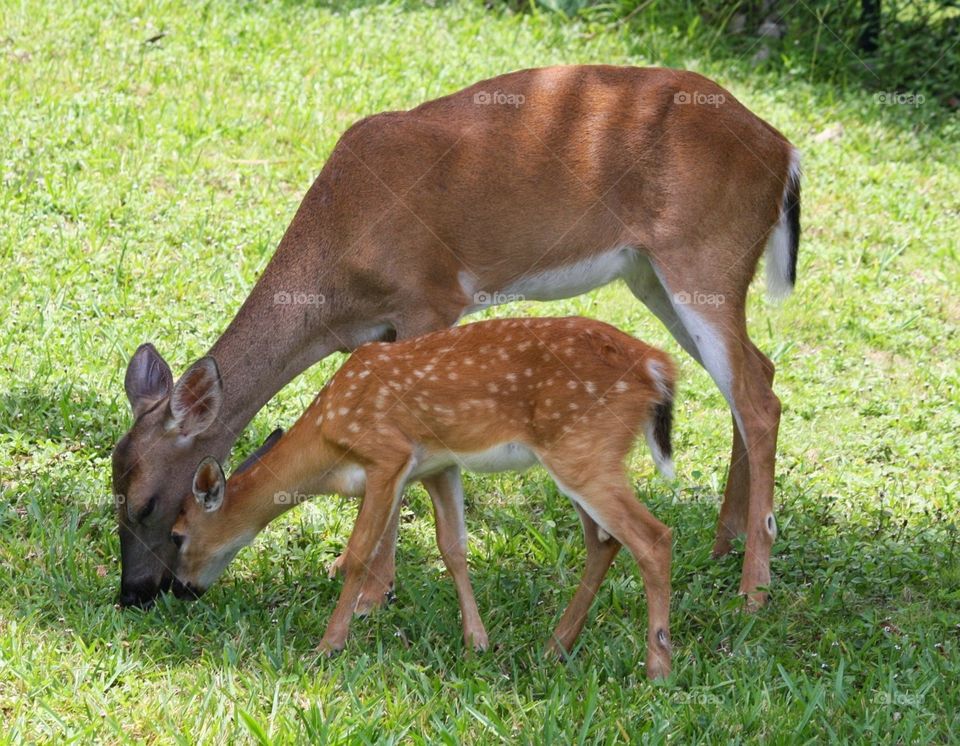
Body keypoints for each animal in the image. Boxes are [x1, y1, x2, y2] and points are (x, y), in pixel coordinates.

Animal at [113, 64, 800, 612]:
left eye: (149, 505)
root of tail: (786, 153)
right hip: (653, 275)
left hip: (702, 256)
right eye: (113, 492)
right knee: (755, 374)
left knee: (758, 396)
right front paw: (351, 572)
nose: (137, 594)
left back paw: (754, 588)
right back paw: (724, 545)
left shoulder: (431, 298)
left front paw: (373, 593)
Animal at [167, 317, 677, 678]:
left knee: (652, 537)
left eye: (176, 534)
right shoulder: (438, 465)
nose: (180, 589)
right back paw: (555, 647)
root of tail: (656, 365)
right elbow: (453, 547)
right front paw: (477, 642)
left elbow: (359, 553)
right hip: (578, 456)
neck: (327, 440)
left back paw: (657, 667)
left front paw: (328, 645)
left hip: (583, 451)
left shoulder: (387, 455)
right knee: (604, 541)